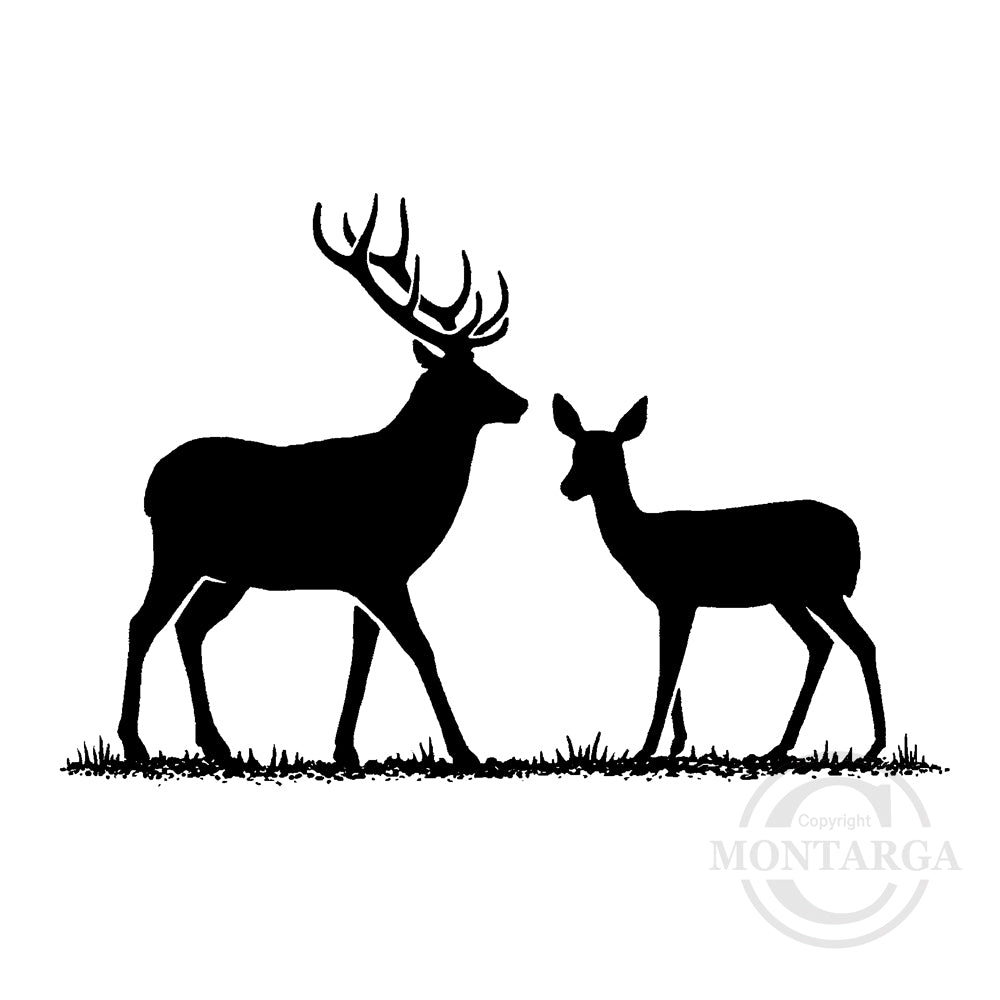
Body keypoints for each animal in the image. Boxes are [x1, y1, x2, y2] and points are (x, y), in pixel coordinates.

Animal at [117, 194, 527, 769]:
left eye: (483, 367)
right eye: (460, 377)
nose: (520, 402)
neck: (412, 484)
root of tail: (151, 484)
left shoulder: (370, 578)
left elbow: (364, 653)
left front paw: (345, 749)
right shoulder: (379, 571)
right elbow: (420, 648)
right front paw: (464, 751)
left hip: (228, 571)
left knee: (189, 626)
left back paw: (217, 744)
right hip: (178, 551)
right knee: (144, 622)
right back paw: (133, 742)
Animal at [552, 393, 885, 763]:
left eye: (609, 455)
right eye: (575, 452)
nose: (567, 487)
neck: (642, 539)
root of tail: (853, 535)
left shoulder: (677, 598)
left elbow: (669, 667)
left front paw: (646, 749)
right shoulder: (679, 602)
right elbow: (674, 667)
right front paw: (672, 745)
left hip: (817, 589)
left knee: (851, 642)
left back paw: (866, 744)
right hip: (793, 596)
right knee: (832, 642)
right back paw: (796, 746)